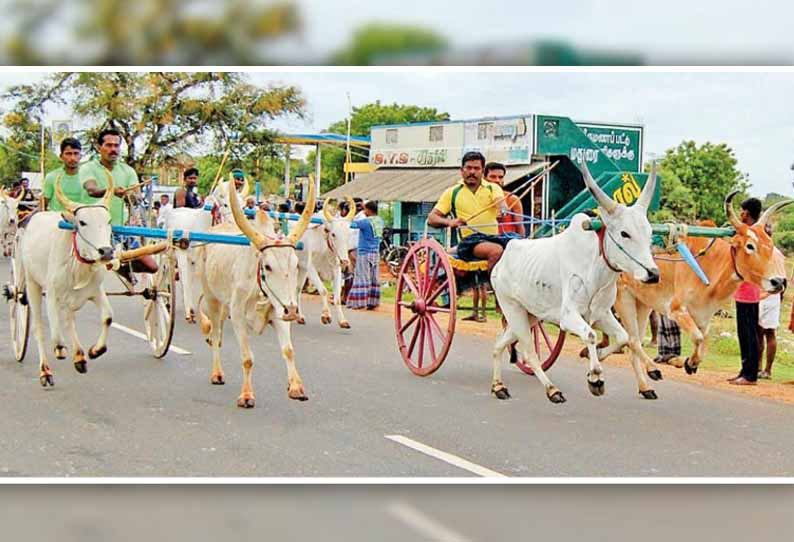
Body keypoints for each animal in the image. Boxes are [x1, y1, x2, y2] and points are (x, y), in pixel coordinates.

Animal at [15, 173, 116, 386]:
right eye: (82, 222)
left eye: (109, 220)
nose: (106, 251)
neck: (79, 266)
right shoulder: (52, 294)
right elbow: (55, 336)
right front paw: (61, 351)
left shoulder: (95, 290)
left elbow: (107, 317)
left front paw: (94, 350)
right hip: (31, 282)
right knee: (38, 328)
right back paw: (45, 371)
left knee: (69, 320)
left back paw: (79, 357)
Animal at [196, 176, 316, 410]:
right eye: (267, 267)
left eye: (295, 264)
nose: (292, 311)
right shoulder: (238, 316)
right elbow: (247, 358)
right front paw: (246, 395)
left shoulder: (279, 312)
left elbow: (288, 350)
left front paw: (296, 387)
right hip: (212, 298)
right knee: (215, 332)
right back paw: (217, 373)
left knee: (217, 330)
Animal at [290, 198, 352, 330]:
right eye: (333, 234)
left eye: (348, 234)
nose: (345, 261)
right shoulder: (311, 269)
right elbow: (323, 290)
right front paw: (326, 316)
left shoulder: (336, 270)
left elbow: (337, 298)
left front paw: (343, 321)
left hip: (301, 270)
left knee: (297, 289)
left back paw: (299, 316)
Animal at [492, 162, 660, 404]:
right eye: (624, 233)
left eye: (650, 233)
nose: (653, 274)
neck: (597, 268)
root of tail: (504, 256)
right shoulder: (568, 316)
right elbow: (590, 335)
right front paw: (596, 377)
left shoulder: (601, 314)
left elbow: (623, 338)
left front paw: (593, 358)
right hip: (512, 309)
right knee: (530, 353)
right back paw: (552, 390)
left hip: (530, 315)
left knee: (498, 345)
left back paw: (498, 386)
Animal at [604, 192, 788, 400]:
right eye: (750, 246)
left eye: (771, 246)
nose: (778, 282)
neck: (711, 266)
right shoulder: (676, 310)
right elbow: (699, 339)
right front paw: (685, 362)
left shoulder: (703, 316)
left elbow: (703, 344)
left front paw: (690, 363)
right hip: (623, 298)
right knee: (632, 340)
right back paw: (650, 369)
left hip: (642, 303)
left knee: (633, 342)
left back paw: (645, 387)